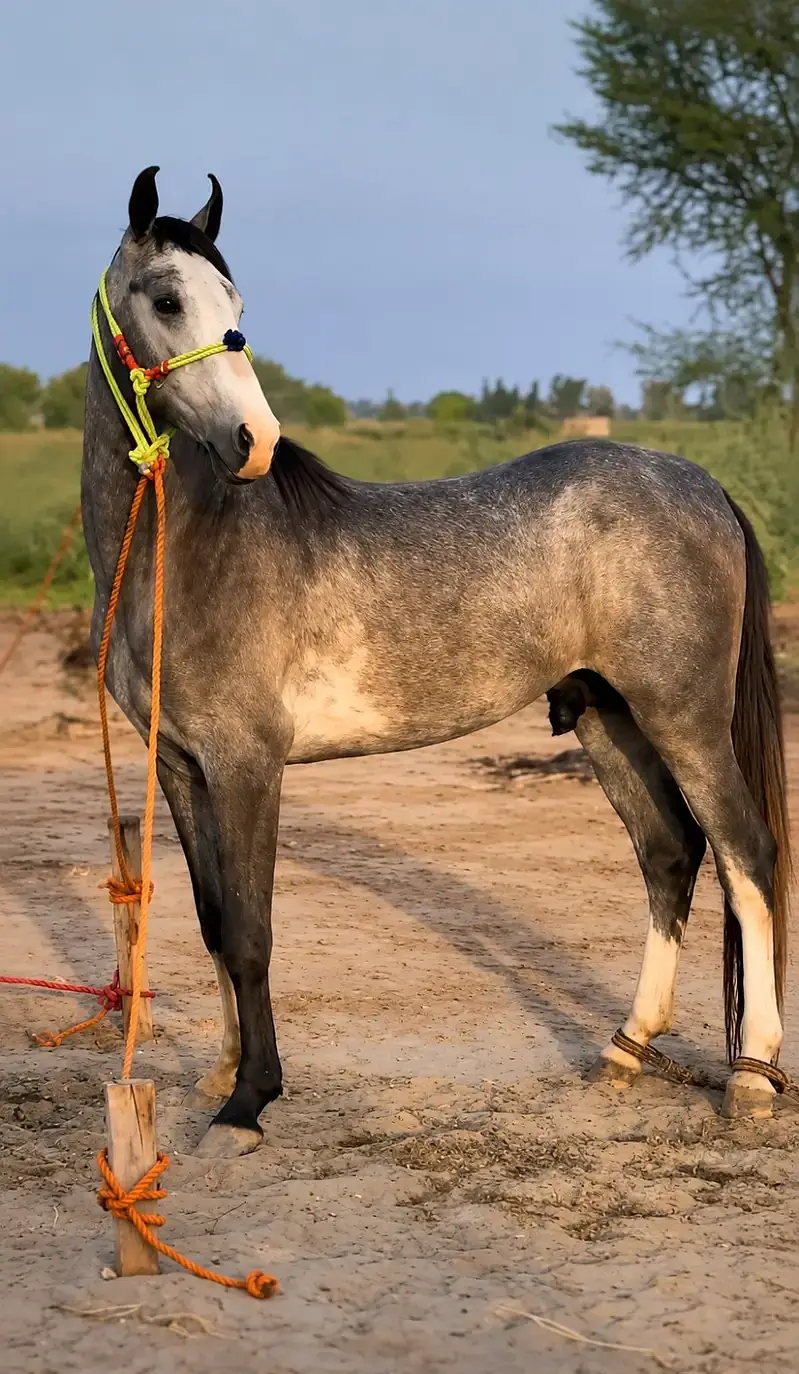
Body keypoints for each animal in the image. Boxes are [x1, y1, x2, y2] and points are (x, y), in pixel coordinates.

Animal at [82, 167, 790, 1158]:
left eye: (236, 304)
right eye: (166, 298)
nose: (252, 442)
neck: (189, 549)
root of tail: (701, 483)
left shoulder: (248, 767)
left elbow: (254, 932)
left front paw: (249, 1102)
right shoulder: (182, 768)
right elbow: (216, 923)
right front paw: (221, 1074)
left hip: (682, 716)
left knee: (744, 856)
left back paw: (753, 1076)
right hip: (606, 715)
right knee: (668, 854)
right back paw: (625, 1048)